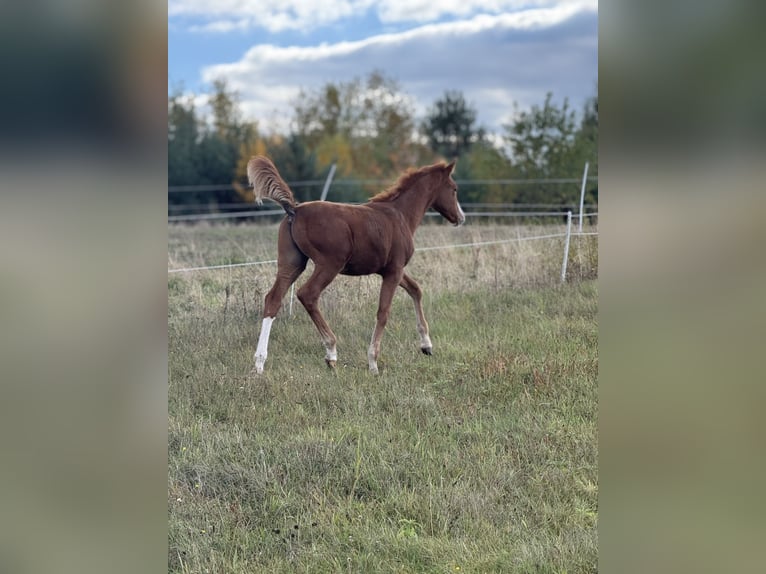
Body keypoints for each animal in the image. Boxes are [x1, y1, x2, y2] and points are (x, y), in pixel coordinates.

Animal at [247, 155, 465, 374]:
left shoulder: (391, 269)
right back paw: (331, 352)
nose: (461, 218)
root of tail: (295, 209)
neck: (400, 214)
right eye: (454, 189)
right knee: (307, 294)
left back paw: (259, 362)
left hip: (291, 263)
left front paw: (426, 346)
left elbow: (416, 290)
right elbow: (383, 312)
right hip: (329, 265)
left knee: (273, 300)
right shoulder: (394, 271)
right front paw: (373, 362)